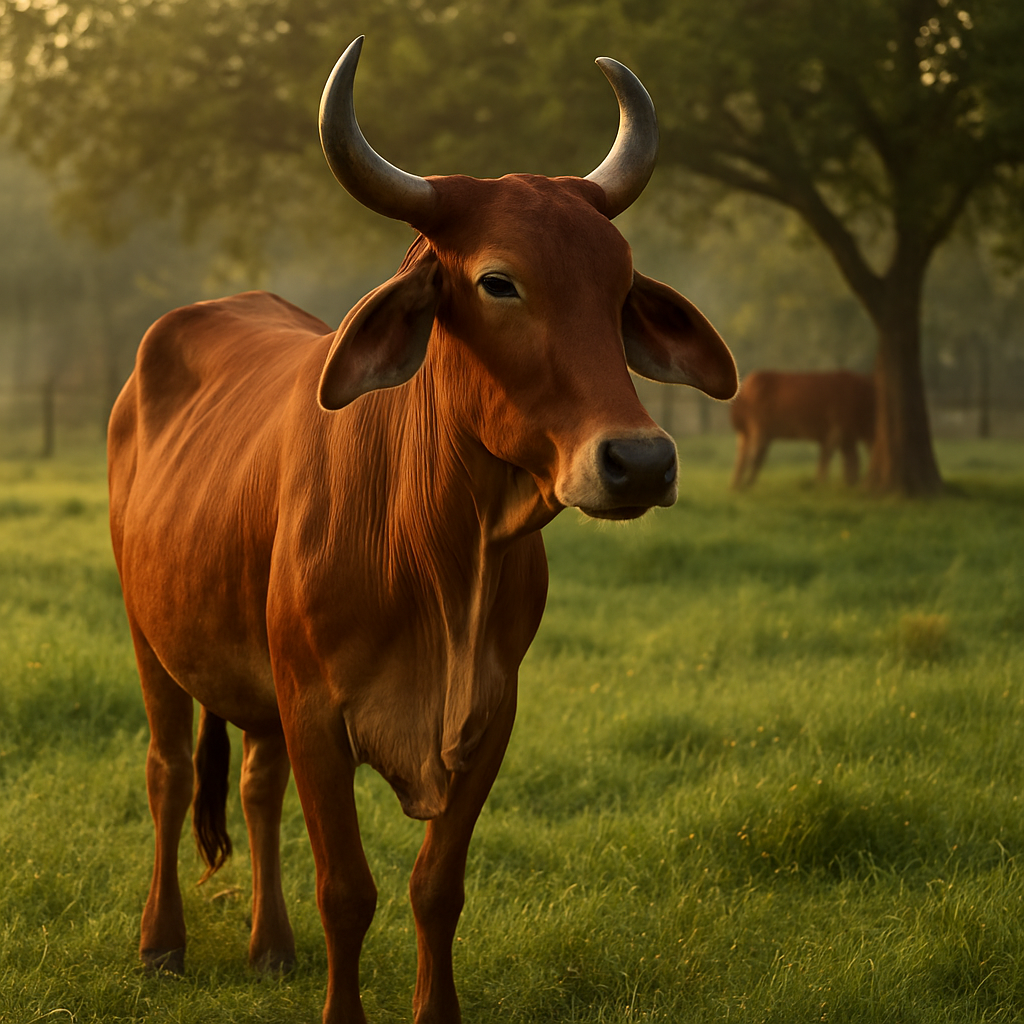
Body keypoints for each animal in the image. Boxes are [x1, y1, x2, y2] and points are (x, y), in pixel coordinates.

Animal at [108, 36, 737, 1024]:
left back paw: (269, 947)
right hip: (151, 636)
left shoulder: (491, 713)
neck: (437, 549)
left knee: (254, 787)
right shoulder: (317, 712)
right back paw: (161, 943)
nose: (639, 462)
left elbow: (436, 888)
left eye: (620, 287)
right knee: (170, 772)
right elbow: (347, 890)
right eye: (498, 282)